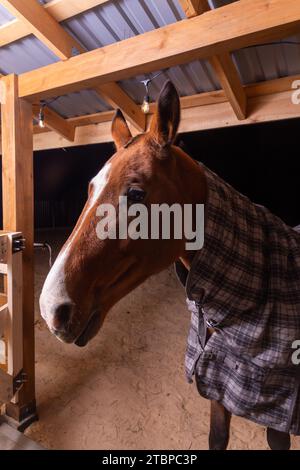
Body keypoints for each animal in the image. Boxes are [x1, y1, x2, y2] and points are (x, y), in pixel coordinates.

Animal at [39, 81, 298, 452]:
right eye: (90, 189)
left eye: (135, 193)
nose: (51, 309)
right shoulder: (218, 390)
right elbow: (217, 438)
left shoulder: (276, 415)